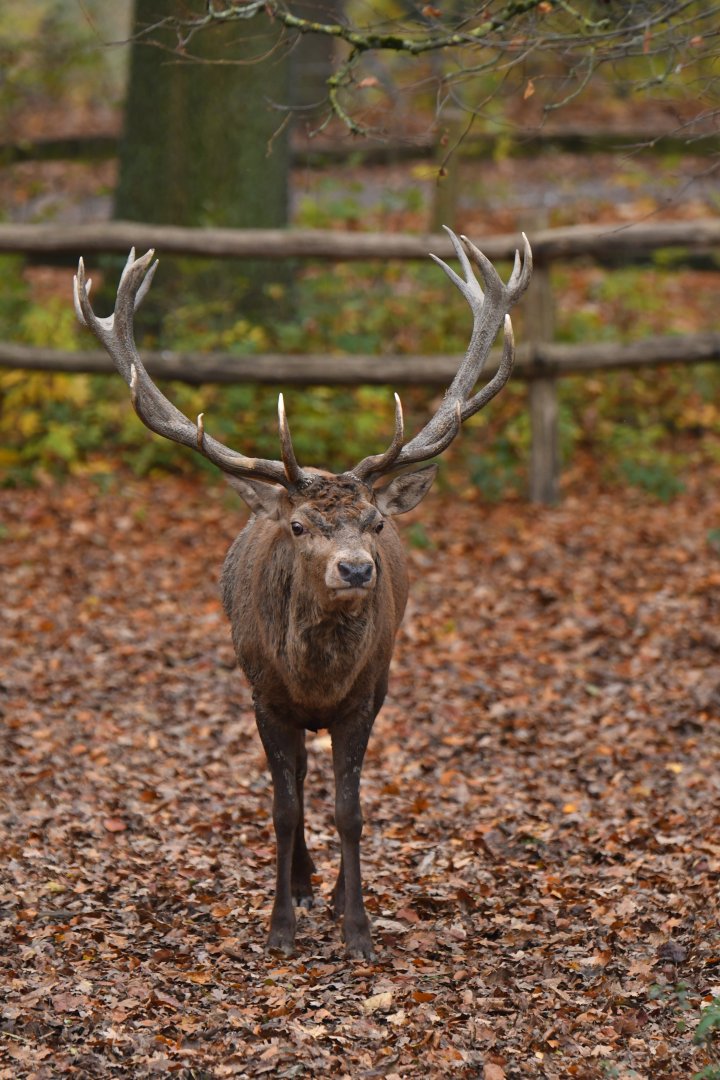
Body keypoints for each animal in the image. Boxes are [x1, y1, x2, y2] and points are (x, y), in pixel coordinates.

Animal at [73, 228, 532, 959]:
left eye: (375, 523)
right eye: (297, 525)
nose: (356, 570)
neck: (315, 679)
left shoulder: (365, 696)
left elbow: (352, 810)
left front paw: (357, 927)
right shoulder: (264, 696)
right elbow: (283, 806)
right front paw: (280, 925)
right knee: (298, 782)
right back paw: (303, 882)